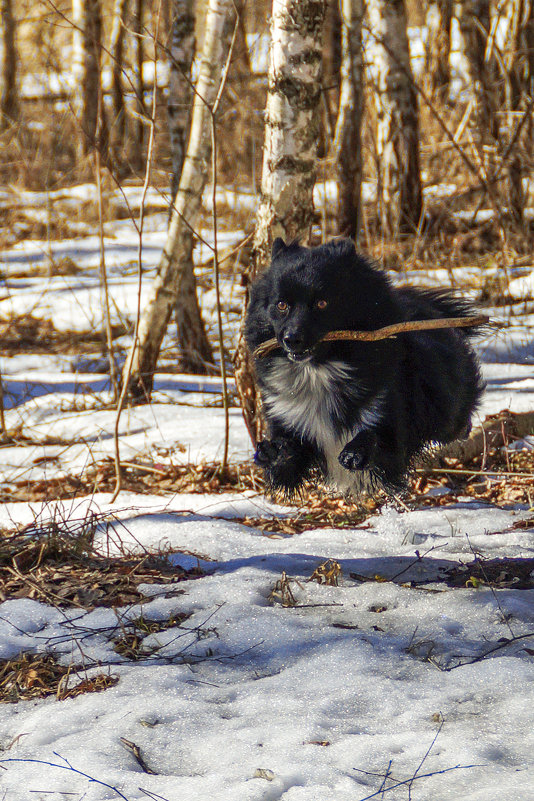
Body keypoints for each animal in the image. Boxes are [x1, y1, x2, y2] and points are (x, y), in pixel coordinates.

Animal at [245, 238, 488, 496]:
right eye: (281, 305)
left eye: (322, 303)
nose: (292, 339)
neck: (318, 372)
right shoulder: (288, 418)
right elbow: (286, 460)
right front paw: (272, 452)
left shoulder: (387, 413)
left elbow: (375, 436)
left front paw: (354, 453)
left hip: (445, 409)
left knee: (456, 420)